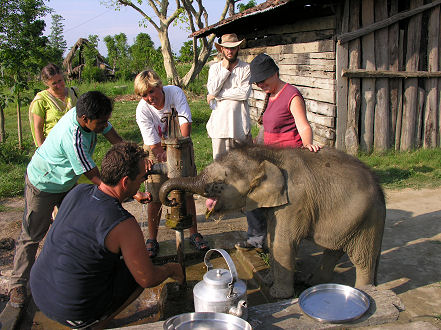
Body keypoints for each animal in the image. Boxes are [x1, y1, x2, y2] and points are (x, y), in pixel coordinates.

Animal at [159, 146, 384, 298]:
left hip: (367, 221)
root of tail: (381, 192)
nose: (171, 200)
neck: (266, 156)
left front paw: (278, 294)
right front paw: (267, 281)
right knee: (333, 250)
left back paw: (366, 292)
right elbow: (272, 238)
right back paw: (310, 282)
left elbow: (283, 243)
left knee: (362, 259)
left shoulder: (295, 203)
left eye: (219, 184)